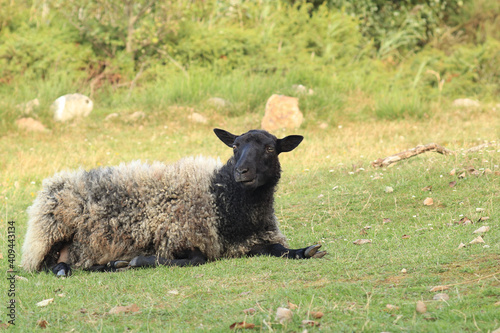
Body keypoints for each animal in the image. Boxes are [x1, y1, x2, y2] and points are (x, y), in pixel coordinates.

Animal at [21, 127, 326, 274]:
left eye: (271, 148)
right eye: (235, 146)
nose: (242, 172)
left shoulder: (251, 241)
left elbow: (278, 249)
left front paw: (305, 251)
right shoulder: (181, 236)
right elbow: (195, 260)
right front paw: (140, 260)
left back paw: (108, 266)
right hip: (51, 232)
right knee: (48, 265)